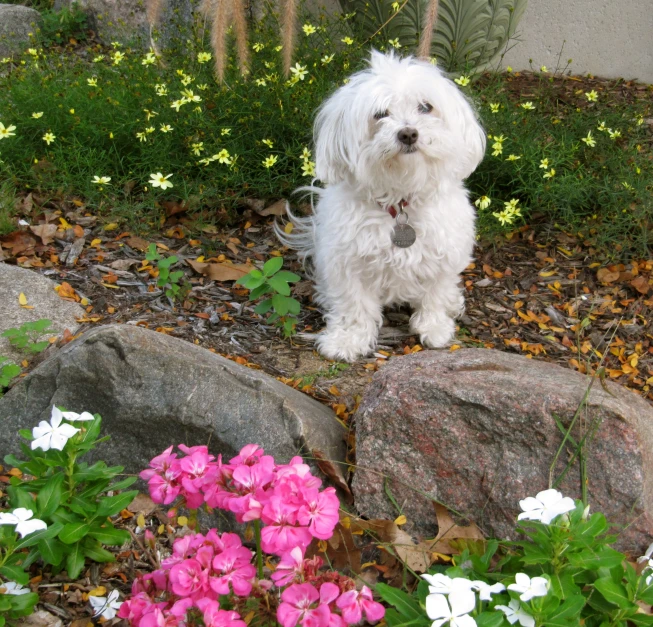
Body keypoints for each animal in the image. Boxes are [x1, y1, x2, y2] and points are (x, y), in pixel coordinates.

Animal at [276, 51, 484, 360]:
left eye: (426, 107)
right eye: (380, 114)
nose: (408, 133)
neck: (399, 200)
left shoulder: (443, 255)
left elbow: (434, 293)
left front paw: (434, 326)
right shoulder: (347, 265)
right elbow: (354, 306)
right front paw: (348, 339)